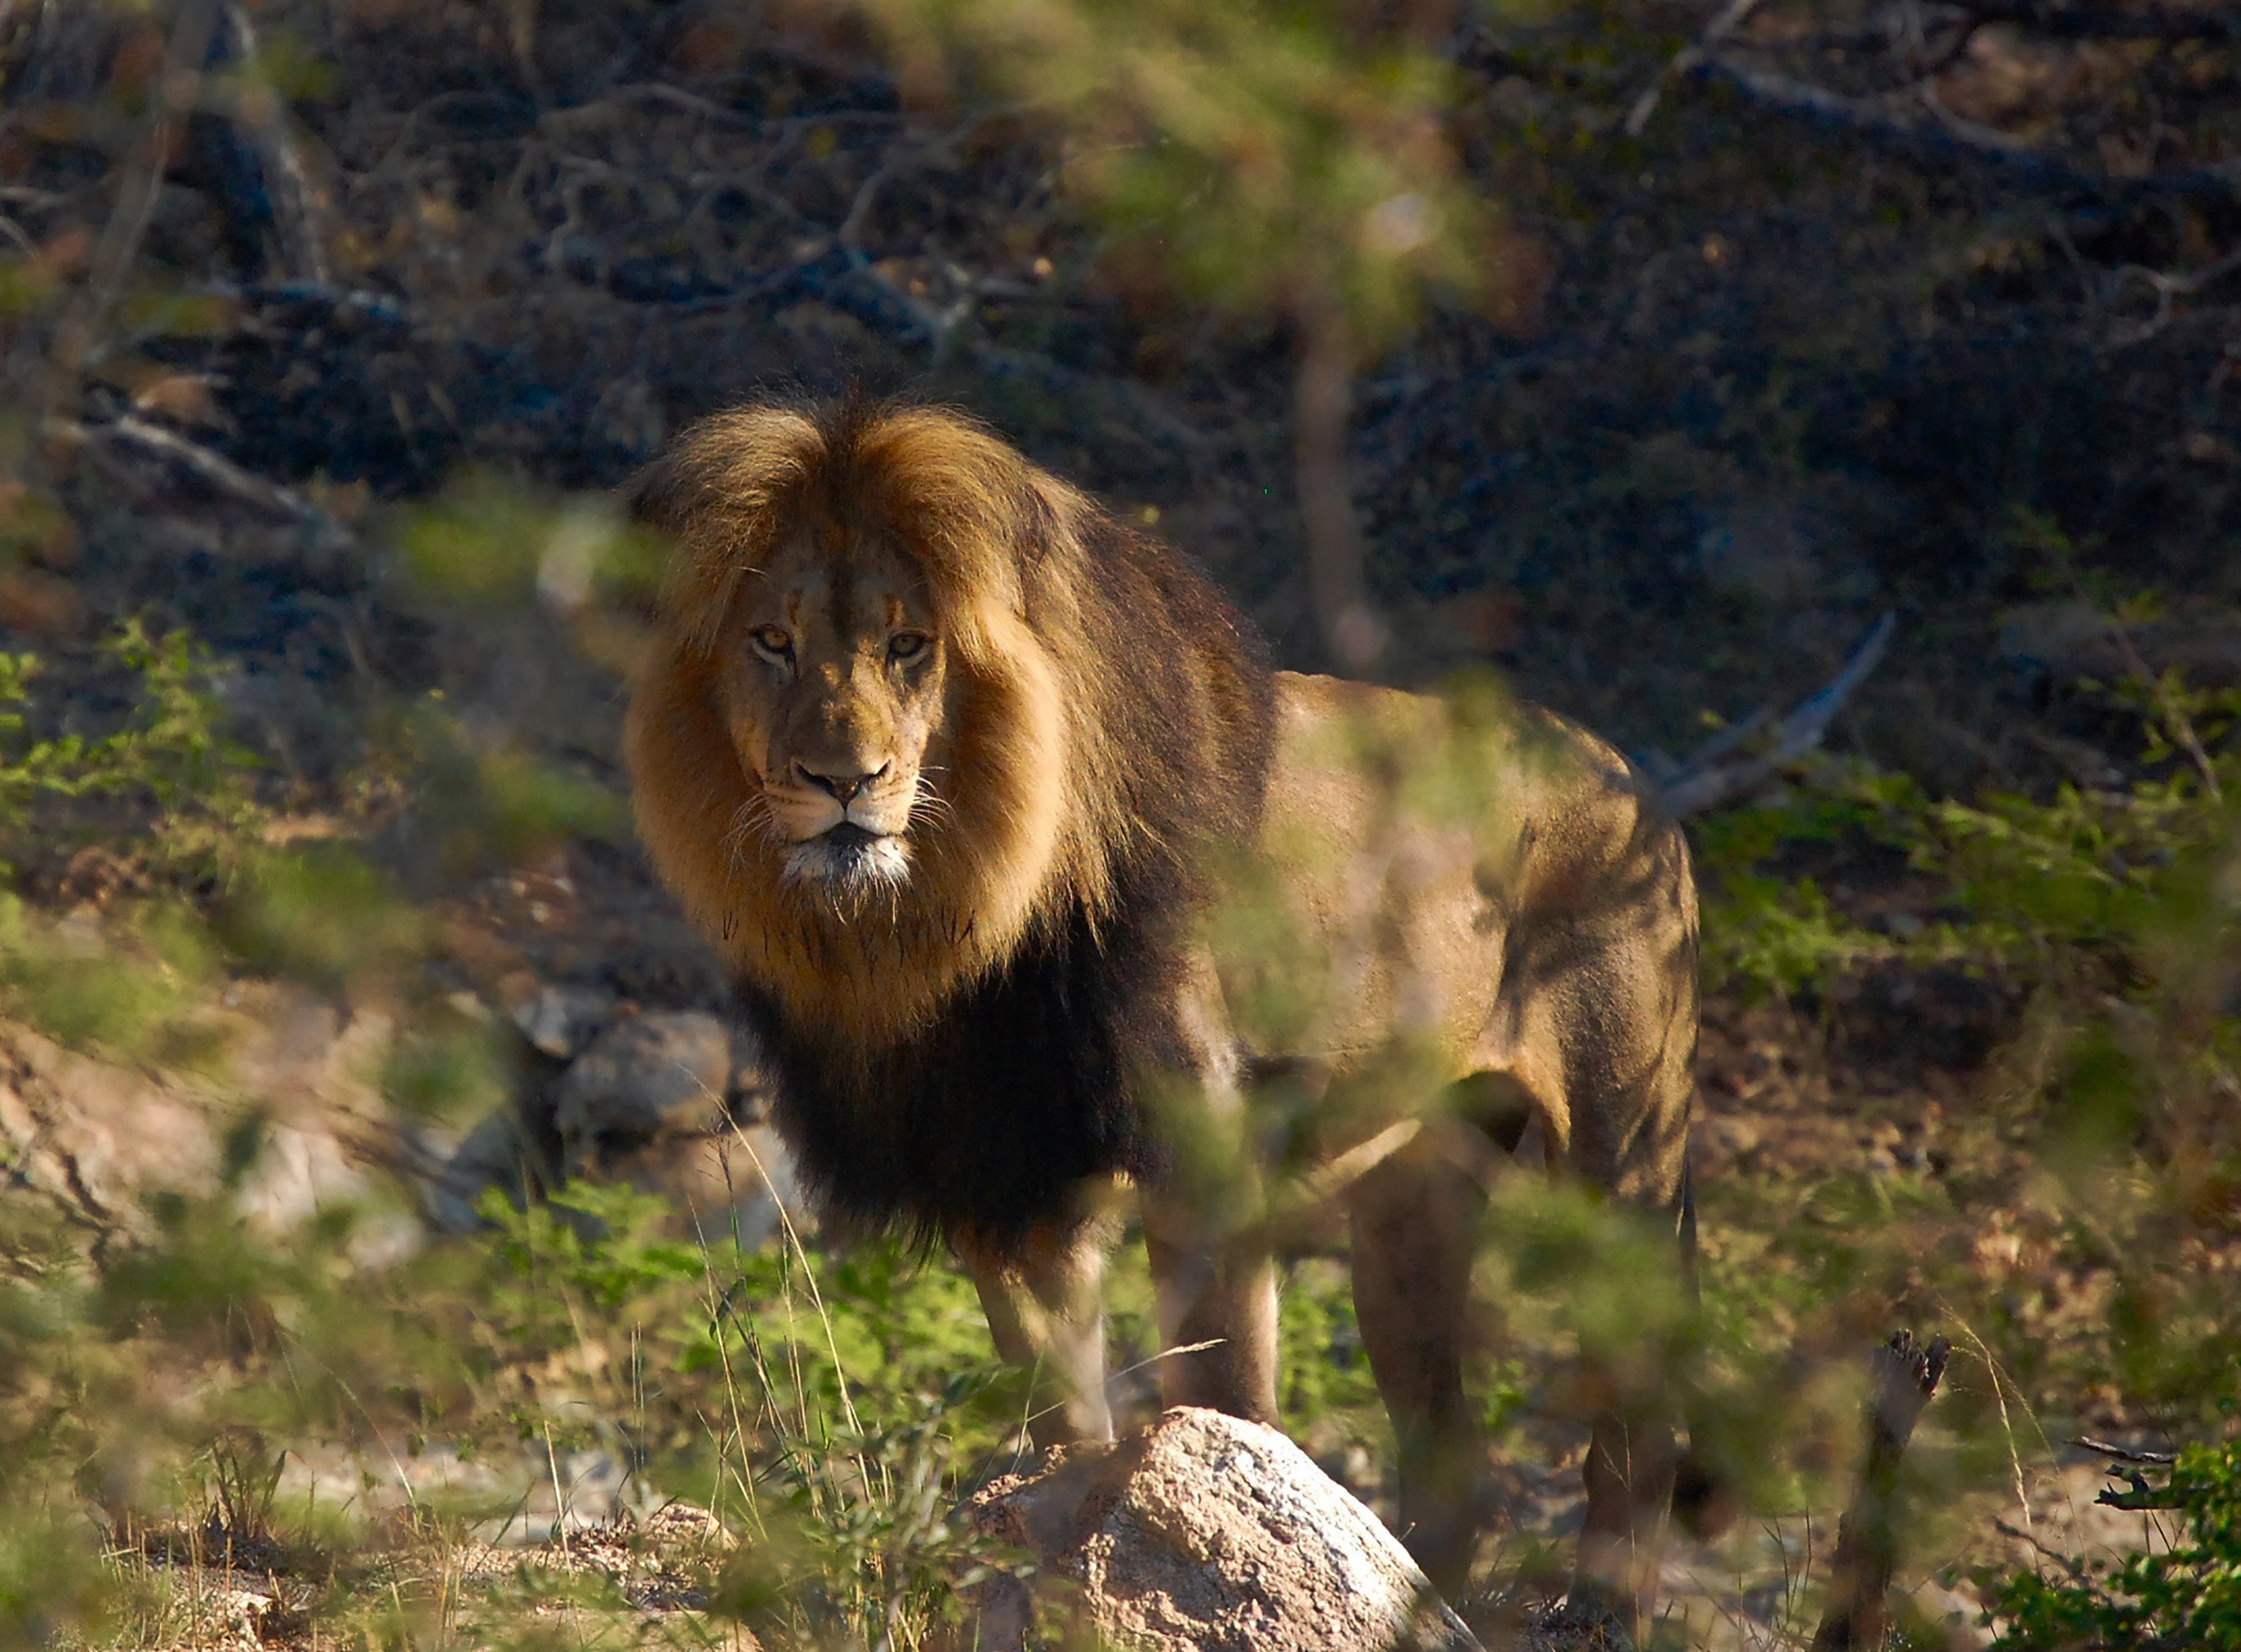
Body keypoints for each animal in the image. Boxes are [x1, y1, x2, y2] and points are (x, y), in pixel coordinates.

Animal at [621, 396, 1700, 1627]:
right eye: (772, 641)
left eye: (908, 646)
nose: (844, 781)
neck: (932, 928)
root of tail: (1629, 773)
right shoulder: (1006, 1174)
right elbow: (1058, 1410)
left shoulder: (1204, 1156)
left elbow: (1228, 1402)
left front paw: (1241, 1549)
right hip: (1411, 1200)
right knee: (1455, 1464)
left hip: (1625, 1157)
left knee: (1640, 1417)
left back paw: (1600, 1604)